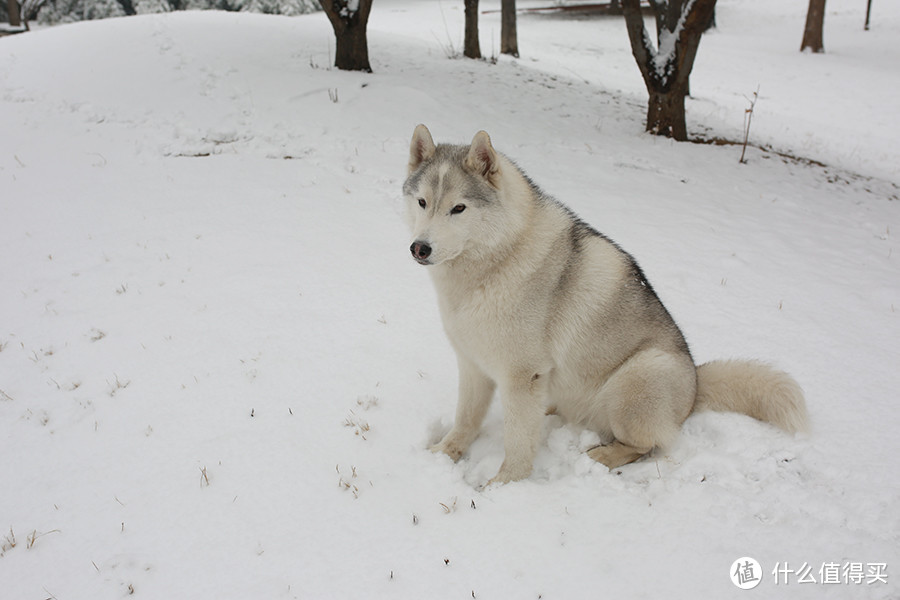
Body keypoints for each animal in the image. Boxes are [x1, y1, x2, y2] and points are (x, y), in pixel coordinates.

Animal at [402, 124, 808, 486]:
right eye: (422, 202)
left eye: (458, 208)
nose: (420, 248)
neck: (497, 259)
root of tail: (695, 384)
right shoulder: (473, 364)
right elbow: (465, 421)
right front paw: (445, 453)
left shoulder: (522, 375)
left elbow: (517, 443)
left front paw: (503, 487)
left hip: (635, 380)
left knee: (646, 445)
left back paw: (601, 455)